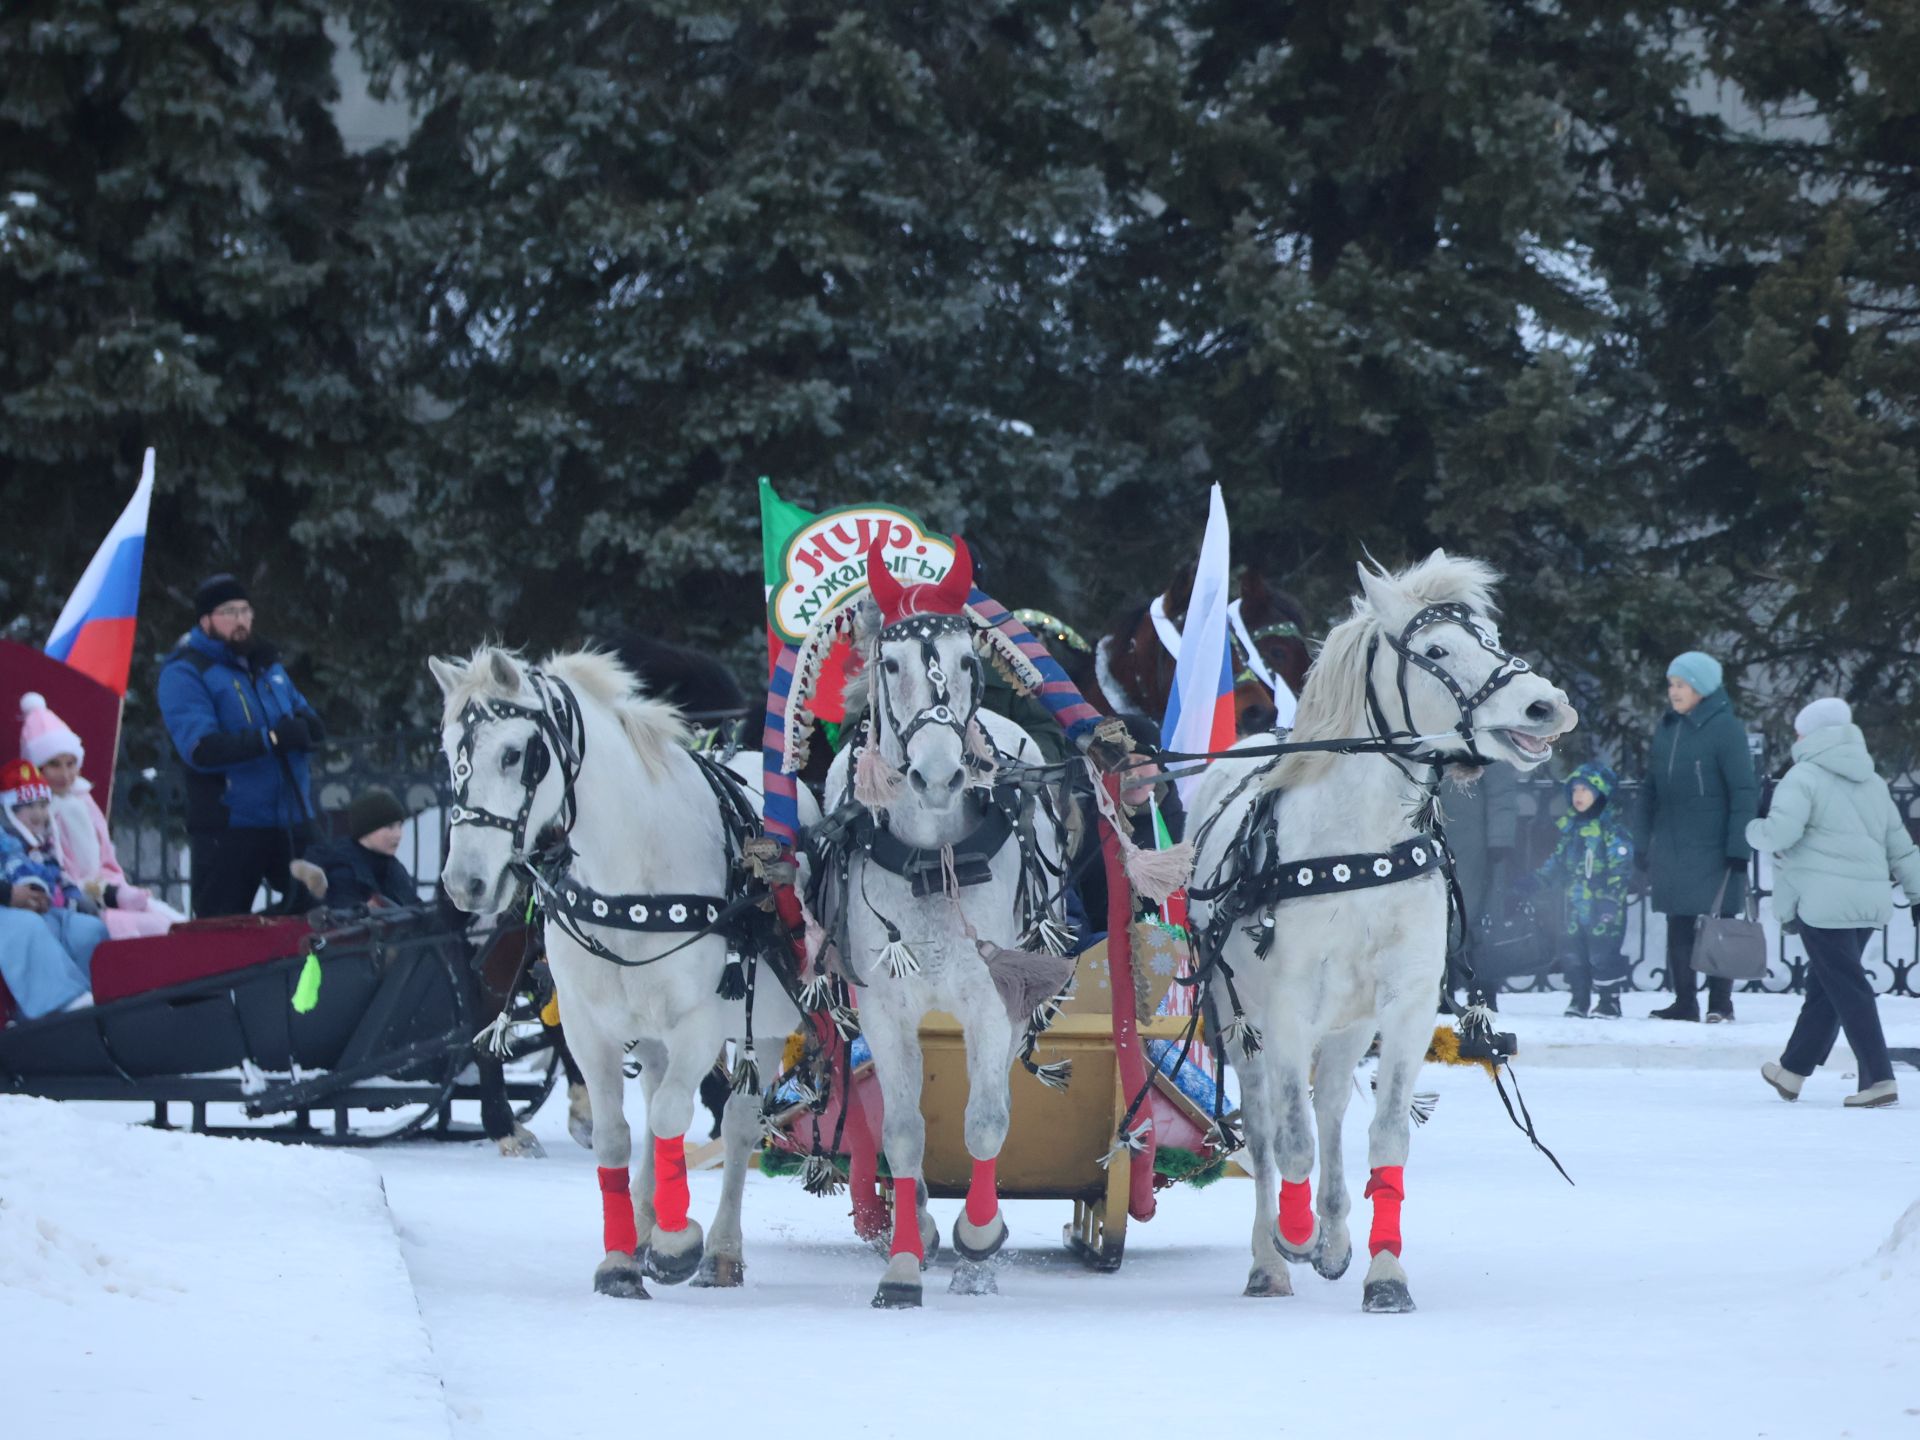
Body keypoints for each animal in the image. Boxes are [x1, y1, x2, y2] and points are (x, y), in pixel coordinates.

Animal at [432, 648, 806, 1305]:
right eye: (448, 750)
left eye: (515, 753)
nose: (465, 883)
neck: (633, 869)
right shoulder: (587, 1026)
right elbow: (617, 1133)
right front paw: (620, 1259)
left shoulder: (699, 1024)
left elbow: (672, 1118)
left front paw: (677, 1245)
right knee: (658, 1101)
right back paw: (643, 1220)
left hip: (762, 1026)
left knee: (736, 1123)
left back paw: (719, 1251)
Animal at [806, 541, 1082, 1305]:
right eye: (892, 664)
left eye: (966, 660)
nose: (937, 775)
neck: (933, 856)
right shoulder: (884, 1008)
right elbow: (902, 1132)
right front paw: (904, 1260)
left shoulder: (992, 1001)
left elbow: (986, 1122)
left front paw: (979, 1238)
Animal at [1182, 556, 1574, 1320]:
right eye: (1437, 651)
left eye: (1491, 637)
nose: (1546, 706)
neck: (1359, 843)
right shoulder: (1285, 1009)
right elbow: (1289, 1139)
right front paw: (1294, 1235)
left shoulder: (1405, 1005)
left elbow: (1385, 1133)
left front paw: (1384, 1271)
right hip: (1240, 1018)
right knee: (1267, 1127)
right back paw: (1271, 1257)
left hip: (1346, 1022)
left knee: (1331, 1105)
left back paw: (1334, 1235)